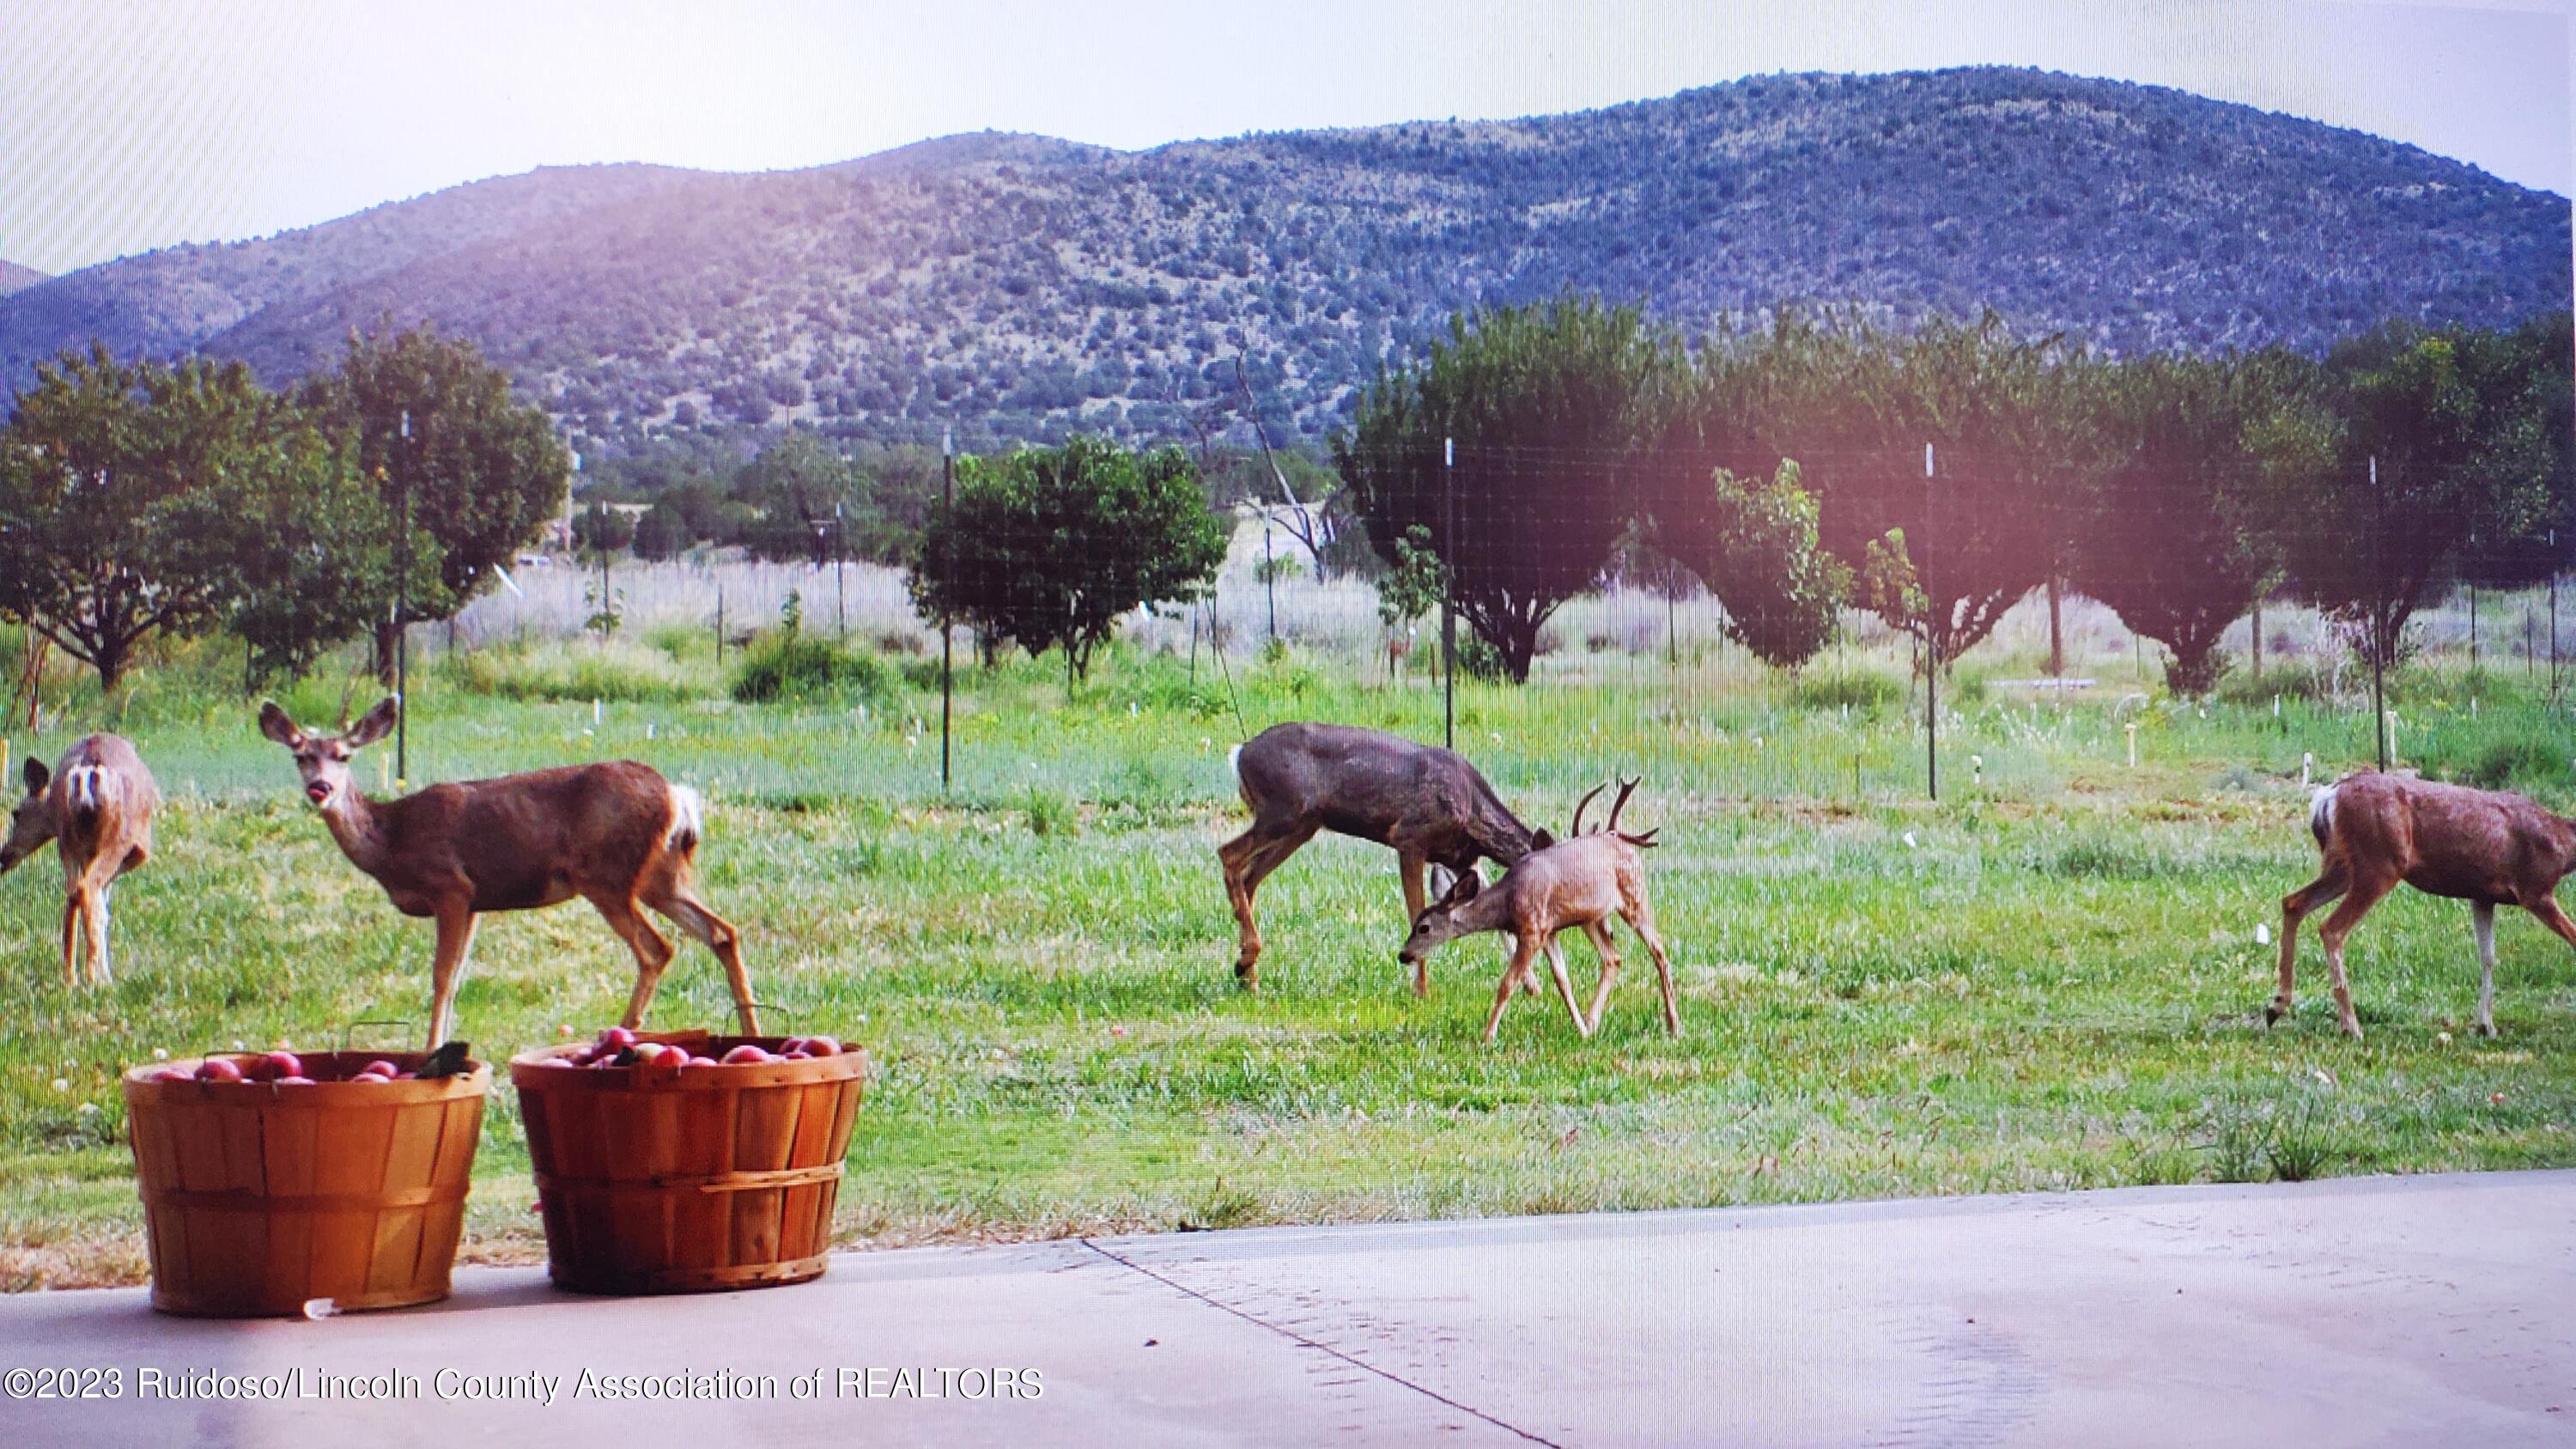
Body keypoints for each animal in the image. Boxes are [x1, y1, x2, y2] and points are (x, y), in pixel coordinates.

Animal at [3, 732, 157, 979]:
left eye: (16, 813)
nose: (3, 855)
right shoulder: (137, 851)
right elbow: (103, 908)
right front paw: (104, 972)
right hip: (119, 839)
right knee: (87, 889)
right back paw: (94, 977)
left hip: (68, 841)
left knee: (74, 892)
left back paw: (70, 977)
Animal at [258, 696, 757, 1041]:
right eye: (300, 756)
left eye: (344, 756)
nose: (320, 789)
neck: (391, 841)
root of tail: (677, 795)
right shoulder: (477, 903)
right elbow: (457, 978)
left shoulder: (451, 886)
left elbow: (441, 976)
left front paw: (430, 1049)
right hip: (660, 876)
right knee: (721, 931)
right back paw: (751, 1032)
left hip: (606, 875)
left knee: (657, 949)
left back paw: (622, 1031)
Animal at [1221, 716, 1556, 984]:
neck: (1470, 806)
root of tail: (1241, 754)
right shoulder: (1410, 839)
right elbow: (1416, 912)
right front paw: (1421, 991)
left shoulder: (1462, 858)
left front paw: (1533, 987)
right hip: (1282, 812)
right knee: (1228, 854)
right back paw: (1247, 957)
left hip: (1302, 827)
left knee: (1249, 878)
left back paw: (1248, 976)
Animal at [1401, 778, 1680, 1036]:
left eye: (1424, 927)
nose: (1403, 955)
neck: (1508, 901)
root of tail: (1623, 843)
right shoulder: (1549, 930)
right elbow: (1562, 981)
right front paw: (1582, 1031)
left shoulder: (1533, 930)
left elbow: (1508, 983)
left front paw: (1487, 1037)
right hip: (1591, 917)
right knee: (1613, 957)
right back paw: (1593, 1022)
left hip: (1634, 895)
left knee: (1658, 948)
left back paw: (1674, 1026)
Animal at [2277, 768, 2576, 1036]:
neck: (2564, 842)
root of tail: (2328, 796)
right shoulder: (2535, 889)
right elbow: (2573, 938)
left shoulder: (2482, 896)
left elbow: (2488, 957)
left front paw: (2486, 1026)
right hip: (2379, 863)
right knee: (2331, 928)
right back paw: (2351, 1026)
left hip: (2345, 865)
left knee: (2293, 902)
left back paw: (2277, 1006)